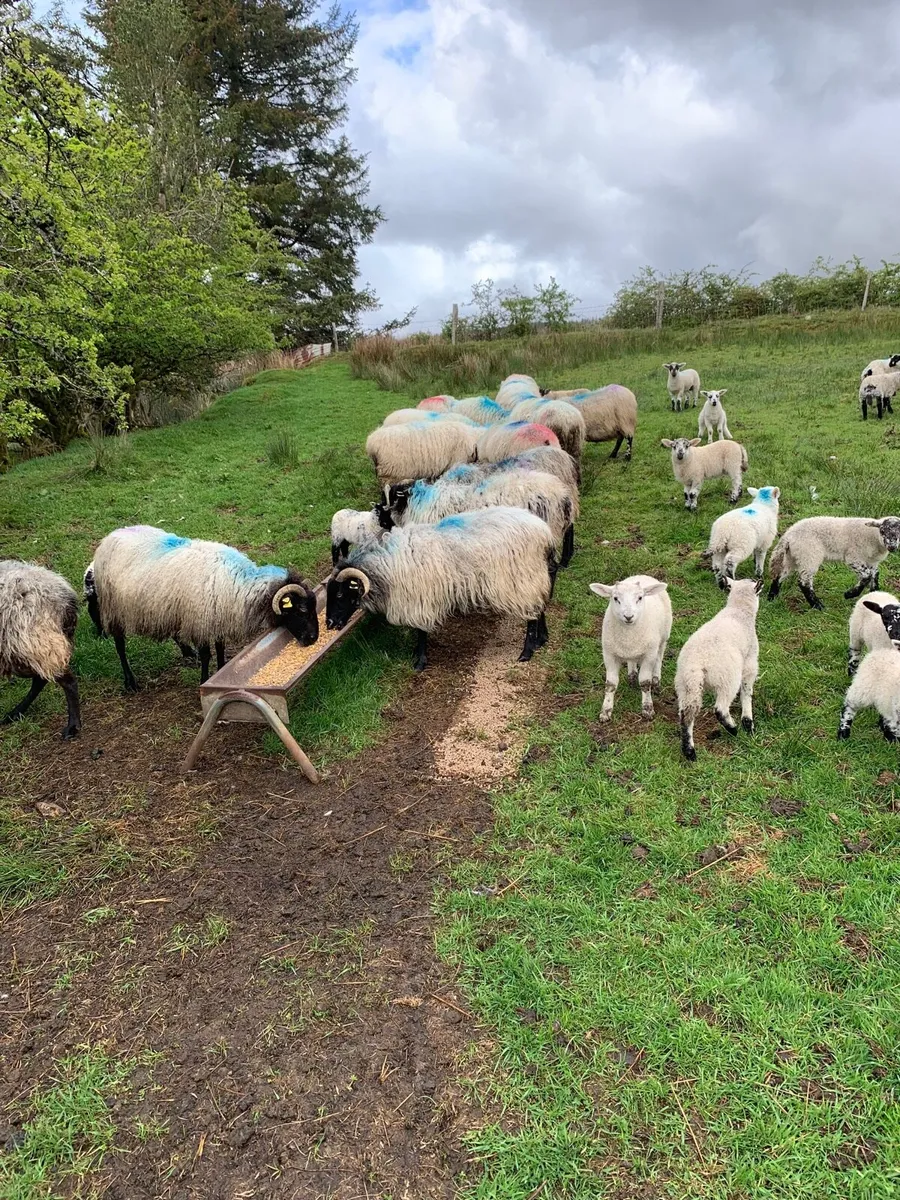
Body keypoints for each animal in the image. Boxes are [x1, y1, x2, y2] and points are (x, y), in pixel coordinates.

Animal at [89, 526, 319, 688]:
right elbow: (208, 653)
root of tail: (110, 537)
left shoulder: (216, 618)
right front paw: (204, 680)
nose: (313, 639)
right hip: (113, 607)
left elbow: (220, 648)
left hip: (167, 606)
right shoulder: (200, 621)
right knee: (119, 644)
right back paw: (130, 681)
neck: (239, 584)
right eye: (302, 610)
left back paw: (187, 651)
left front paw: (221, 670)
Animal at [326, 507, 558, 670]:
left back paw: (527, 652)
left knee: (532, 614)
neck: (387, 566)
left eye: (340, 593)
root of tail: (545, 533)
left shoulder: (419, 598)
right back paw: (541, 639)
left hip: (520, 578)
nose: (329, 624)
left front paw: (419, 662)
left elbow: (420, 631)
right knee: (540, 605)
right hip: (533, 575)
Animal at [588, 575, 672, 721]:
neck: (628, 634)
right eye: (615, 598)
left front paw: (647, 708)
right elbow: (610, 684)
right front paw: (606, 710)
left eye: (640, 598)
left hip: (663, 638)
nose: (628, 616)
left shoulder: (649, 655)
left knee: (659, 658)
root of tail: (642, 575)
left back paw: (656, 681)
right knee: (631, 660)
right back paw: (632, 676)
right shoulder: (609, 654)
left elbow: (645, 682)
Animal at [675, 578, 762, 761]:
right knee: (720, 709)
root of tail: (696, 665)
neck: (739, 611)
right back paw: (732, 729)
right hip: (727, 679)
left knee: (686, 714)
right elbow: (747, 691)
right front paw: (747, 721)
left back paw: (689, 751)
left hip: (684, 684)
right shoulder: (750, 661)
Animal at [767, 515, 900, 610]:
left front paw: (876, 596)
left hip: (792, 556)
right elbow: (867, 576)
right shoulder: (853, 557)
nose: (892, 547)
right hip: (809, 555)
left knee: (780, 575)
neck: (873, 537)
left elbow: (875, 575)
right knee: (804, 582)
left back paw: (772, 597)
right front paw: (849, 594)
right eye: (882, 531)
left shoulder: (873, 561)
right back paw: (818, 606)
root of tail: (788, 535)